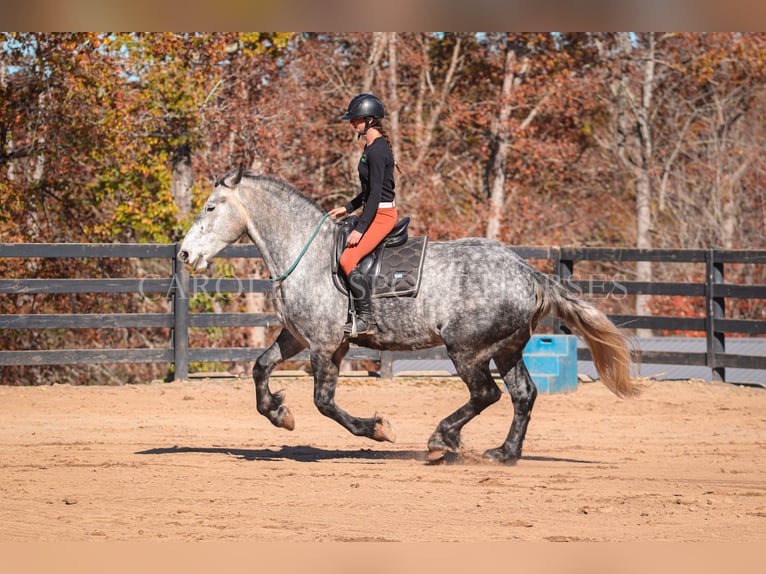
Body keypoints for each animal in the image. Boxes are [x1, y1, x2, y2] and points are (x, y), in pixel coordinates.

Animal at [180, 165, 636, 464]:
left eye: (210, 208)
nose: (184, 254)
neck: (305, 253)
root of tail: (529, 273)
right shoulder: (298, 337)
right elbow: (260, 368)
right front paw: (279, 413)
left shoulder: (327, 345)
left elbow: (324, 402)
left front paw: (378, 429)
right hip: (506, 349)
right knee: (523, 395)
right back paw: (504, 453)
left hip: (467, 350)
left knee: (485, 394)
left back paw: (441, 440)